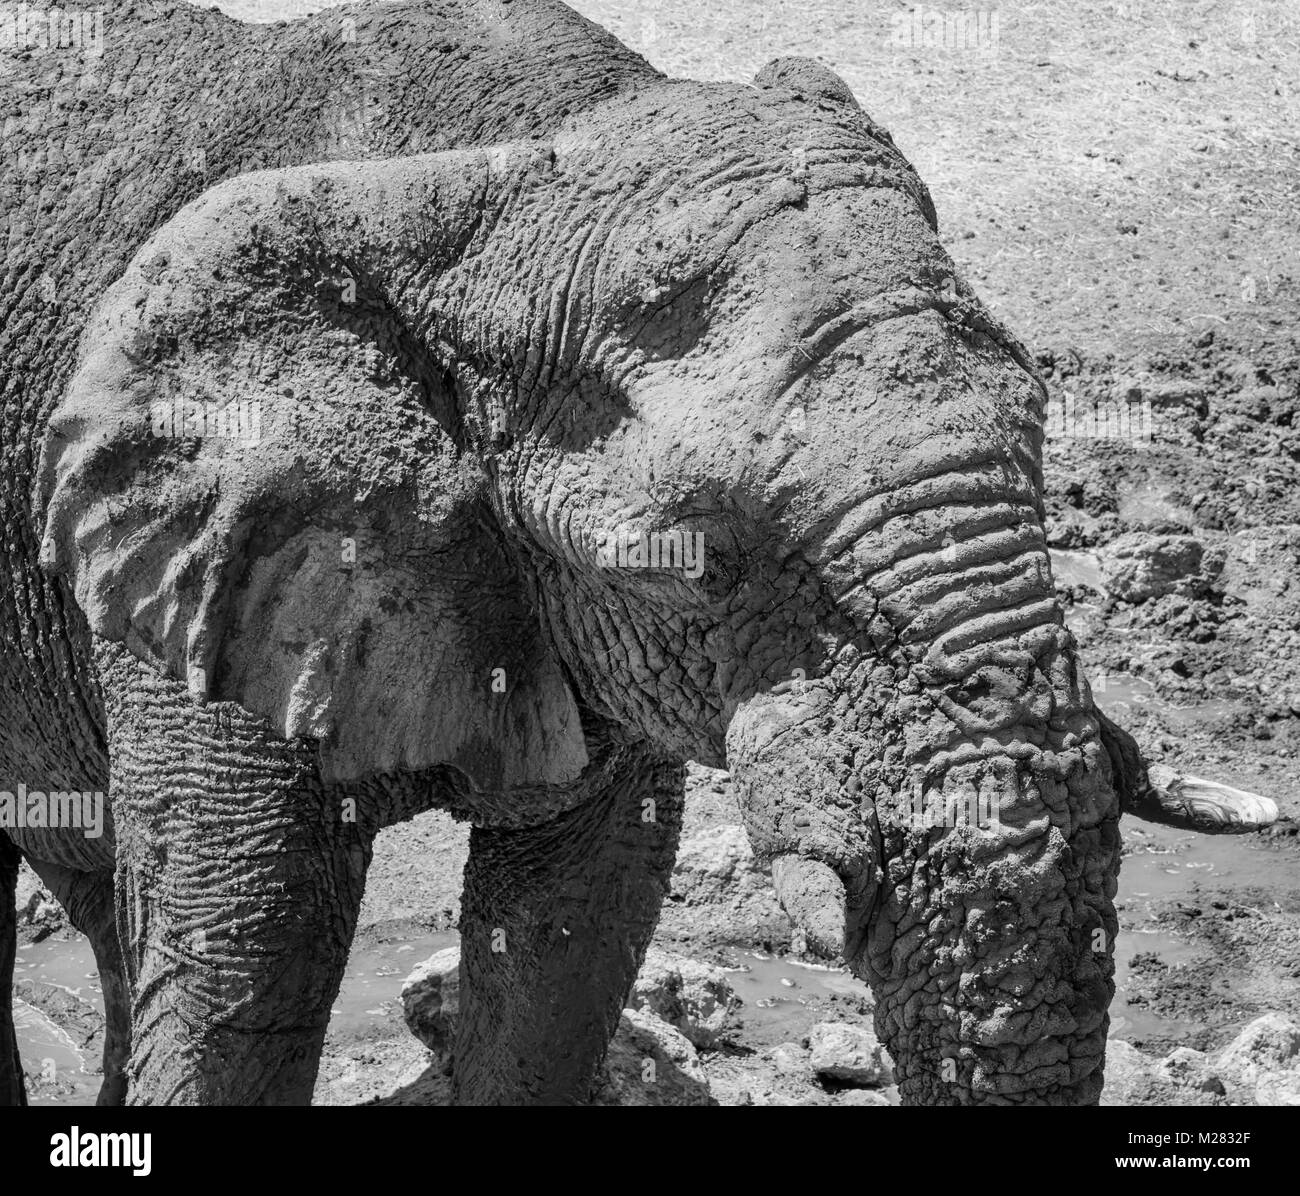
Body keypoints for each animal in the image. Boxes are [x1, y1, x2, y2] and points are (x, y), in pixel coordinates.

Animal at [0, 0, 1278, 1107]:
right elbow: (242, 972)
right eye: (711, 559)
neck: (490, 169)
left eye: (1039, 434)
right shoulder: (221, 564)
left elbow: (573, 936)